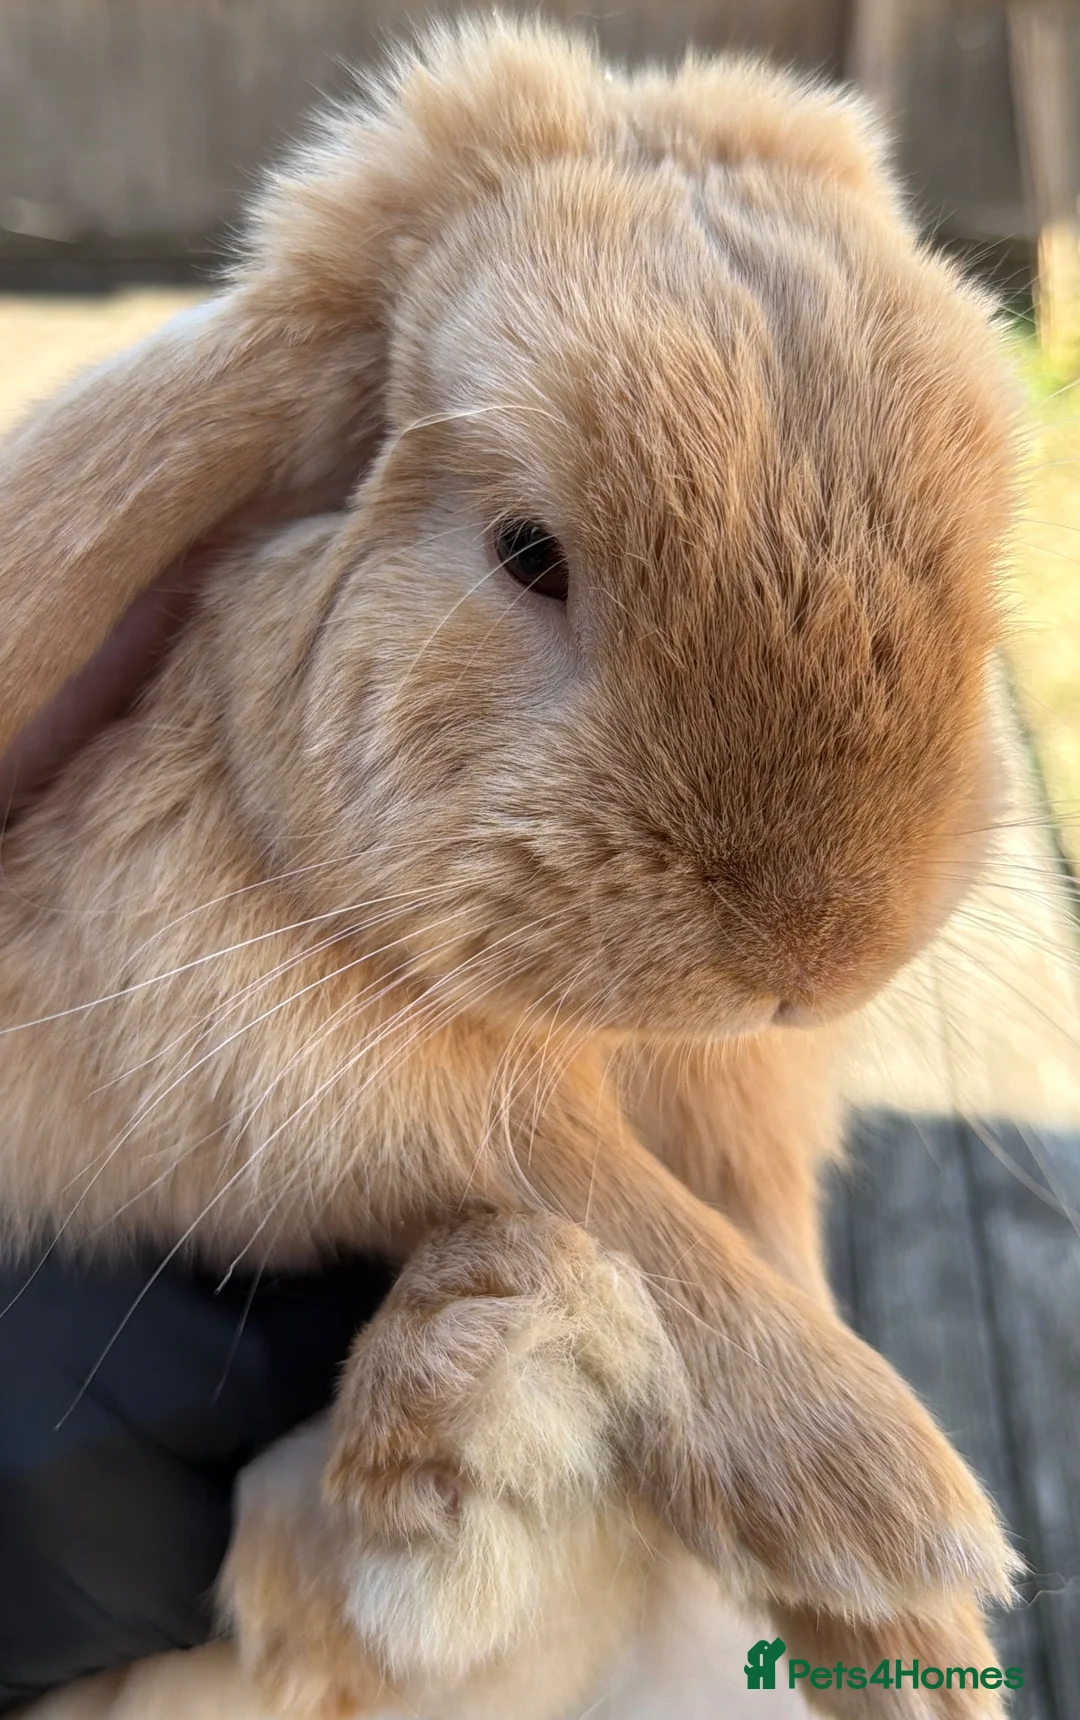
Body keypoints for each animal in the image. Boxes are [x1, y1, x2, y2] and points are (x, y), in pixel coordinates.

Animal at [0, 16, 1022, 1716]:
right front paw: (889, 1515)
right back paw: (487, 1372)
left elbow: (742, 1228)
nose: (821, 952)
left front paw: (917, 1646)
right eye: (528, 554)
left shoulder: (744, 1113)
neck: (634, 1036)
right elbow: (596, 1187)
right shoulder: (246, 1048)